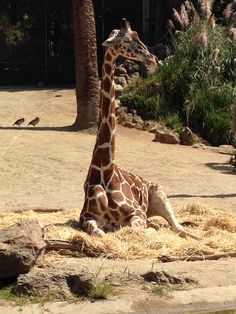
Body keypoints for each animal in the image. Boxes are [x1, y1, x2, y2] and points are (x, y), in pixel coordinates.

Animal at [79, 19, 195, 238]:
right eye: (125, 40)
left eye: (137, 36)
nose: (153, 59)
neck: (105, 171)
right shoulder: (87, 217)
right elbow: (100, 233)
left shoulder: (137, 214)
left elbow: (135, 229)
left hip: (159, 193)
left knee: (178, 227)